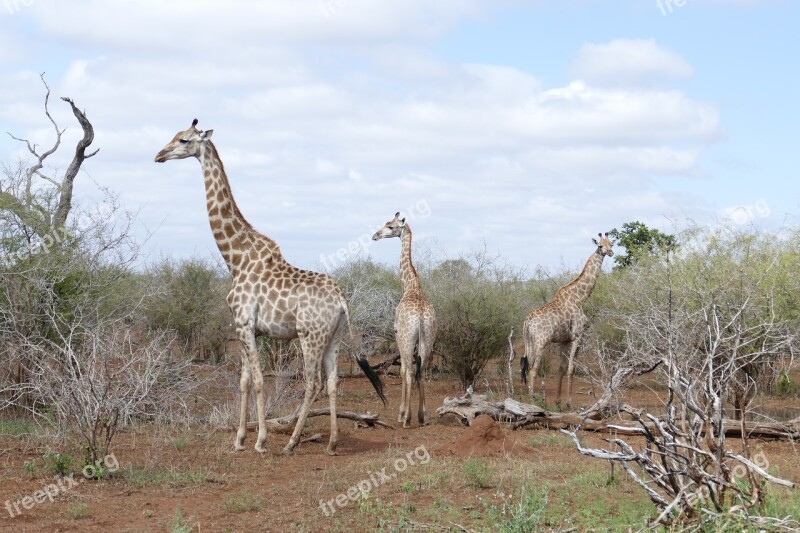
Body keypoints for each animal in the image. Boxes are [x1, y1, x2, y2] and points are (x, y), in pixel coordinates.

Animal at [155, 119, 386, 454]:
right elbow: (244, 381)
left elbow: (258, 380)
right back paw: (331, 442)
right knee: (332, 381)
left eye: (183, 139)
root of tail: (342, 299)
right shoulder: (244, 328)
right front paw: (239, 439)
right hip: (335, 336)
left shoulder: (244, 324)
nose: (159, 155)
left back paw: (291, 442)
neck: (235, 258)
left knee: (313, 382)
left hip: (310, 335)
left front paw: (260, 440)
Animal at [370, 213, 434, 428]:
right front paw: (418, 415)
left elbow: (403, 370)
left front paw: (402, 413)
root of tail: (421, 317)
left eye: (390, 226)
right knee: (421, 370)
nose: (375, 235)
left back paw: (405, 417)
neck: (410, 285)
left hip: (407, 339)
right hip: (428, 339)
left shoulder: (398, 335)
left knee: (409, 371)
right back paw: (423, 417)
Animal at [520, 231, 616, 410]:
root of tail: (527, 322)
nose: (610, 252)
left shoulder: (564, 340)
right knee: (534, 368)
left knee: (527, 365)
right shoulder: (578, 336)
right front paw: (569, 403)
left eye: (611, 244)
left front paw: (558, 402)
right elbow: (571, 368)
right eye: (600, 245)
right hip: (540, 341)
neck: (580, 298)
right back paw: (532, 399)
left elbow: (561, 368)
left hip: (528, 341)